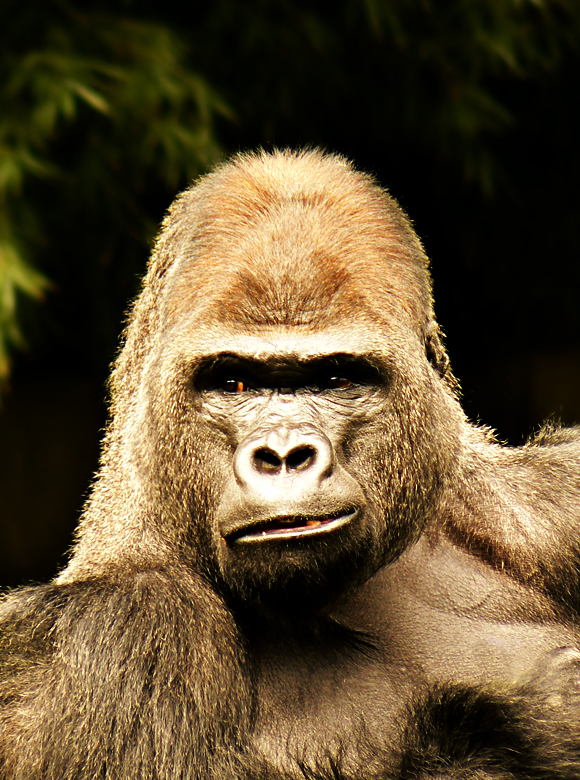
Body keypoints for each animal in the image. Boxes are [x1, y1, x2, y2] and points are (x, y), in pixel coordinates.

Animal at [1, 149, 580, 779]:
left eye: (337, 378)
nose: (283, 456)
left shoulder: (554, 501)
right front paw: (538, 720)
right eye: (233, 381)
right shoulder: (115, 630)